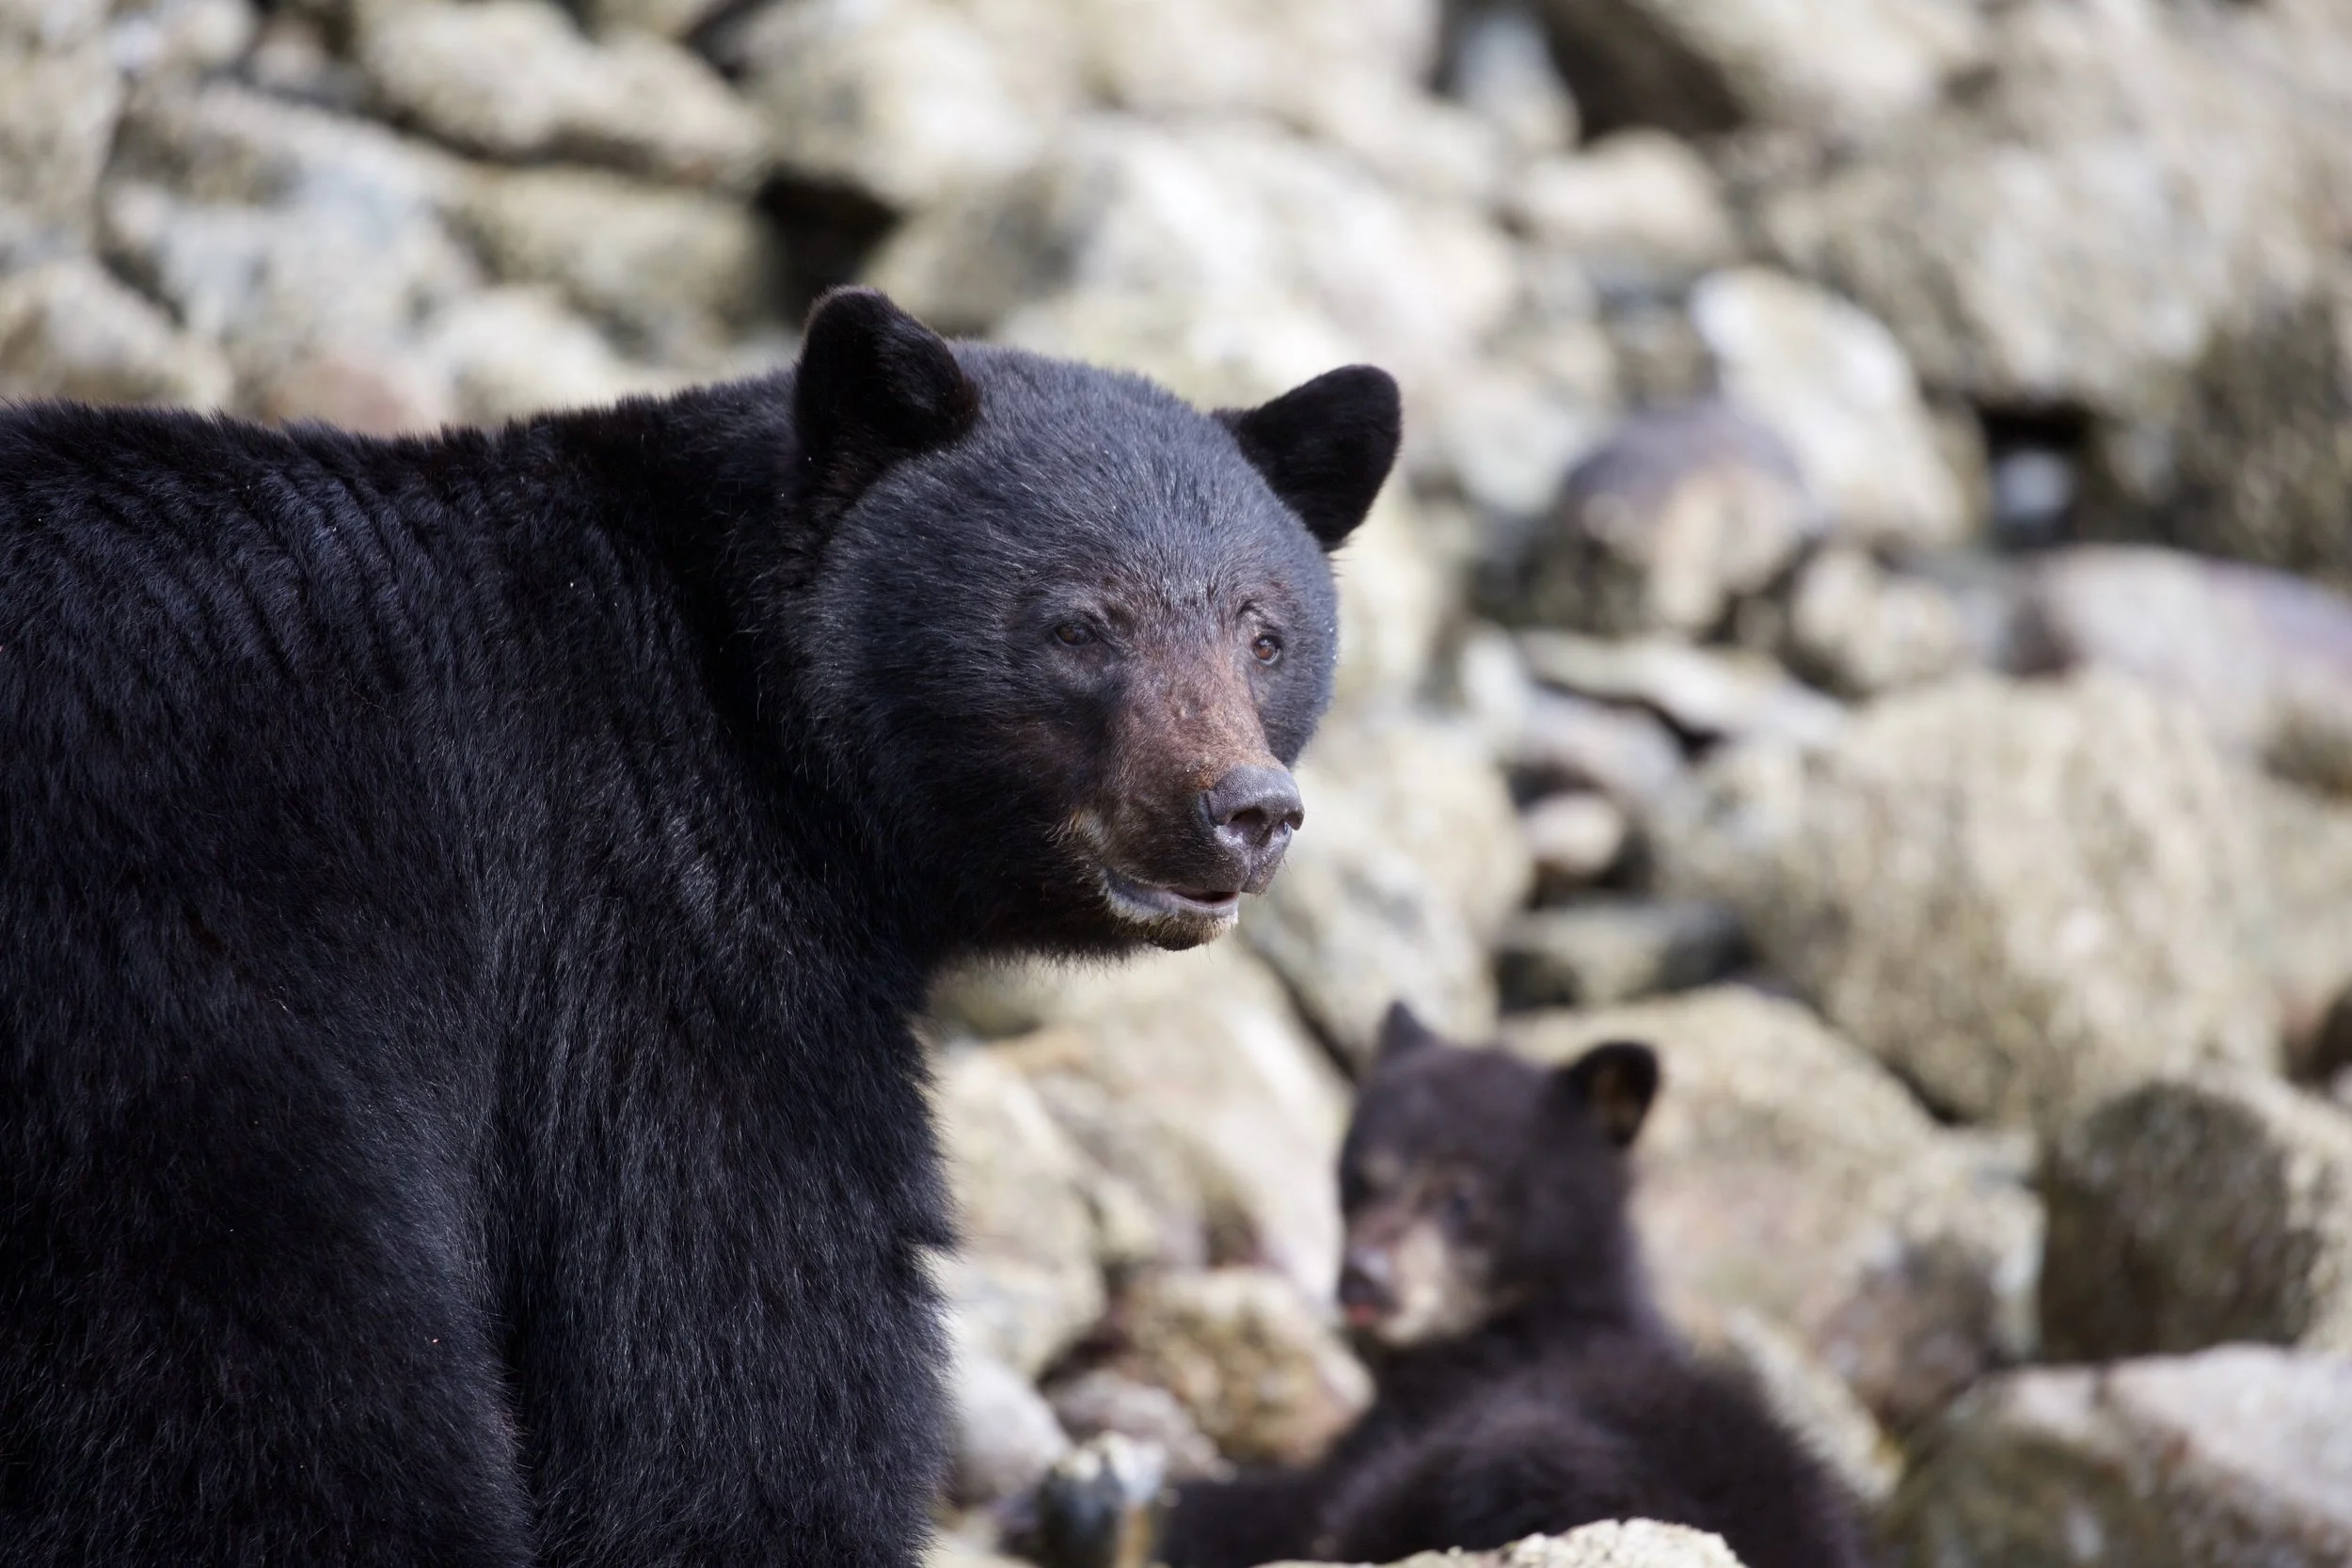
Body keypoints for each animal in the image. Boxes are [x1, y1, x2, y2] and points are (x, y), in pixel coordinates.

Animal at [0, 288, 1400, 1567]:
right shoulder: (650, 917)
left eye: (1265, 631)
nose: (1244, 809)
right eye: (1077, 622)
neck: (739, 689)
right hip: (191, 1006)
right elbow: (731, 1348)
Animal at [1155, 1005, 1867, 1568]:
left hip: (1540, 1446)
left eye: (1463, 1195)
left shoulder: (1428, 1410)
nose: (1364, 1277)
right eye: (1361, 1176)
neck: (1518, 1316)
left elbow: (1297, 1503)